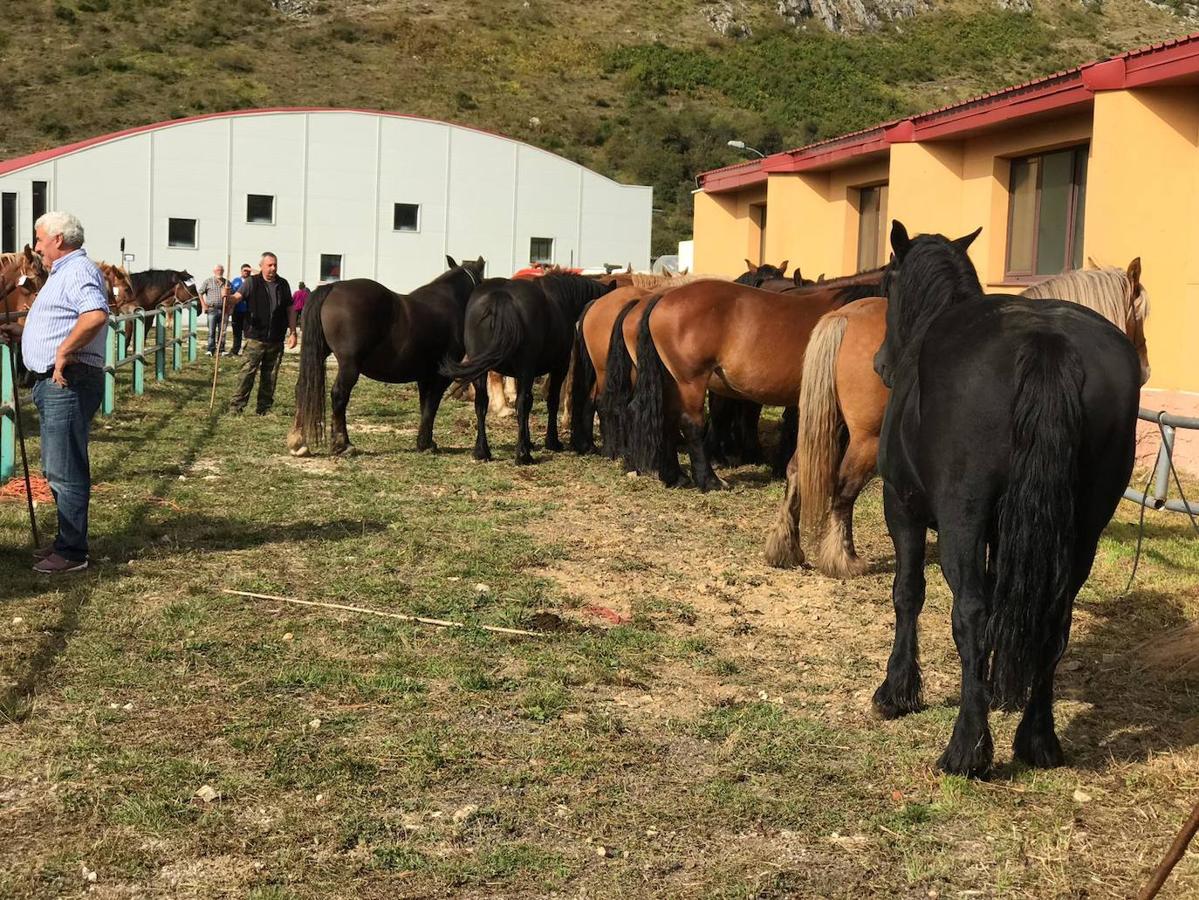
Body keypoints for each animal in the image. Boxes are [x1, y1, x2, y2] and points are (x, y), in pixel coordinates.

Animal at [287, 256, 484, 457]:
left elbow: (425, 405)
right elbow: (432, 405)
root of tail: (333, 287)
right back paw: (343, 444)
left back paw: (298, 442)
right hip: (349, 365)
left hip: (319, 354)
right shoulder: (439, 376)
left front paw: (425, 442)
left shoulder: (424, 376)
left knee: (302, 387)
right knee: (339, 395)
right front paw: (426, 444)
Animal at [448, 273, 623, 464]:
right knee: (521, 403)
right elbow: (550, 401)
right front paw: (551, 441)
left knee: (482, 403)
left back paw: (482, 451)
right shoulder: (558, 366)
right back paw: (523, 455)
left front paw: (529, 441)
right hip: (526, 367)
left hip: (482, 369)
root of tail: (501, 297)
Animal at [767, 256, 1151, 572]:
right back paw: (843, 559)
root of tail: (844, 315)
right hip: (865, 439)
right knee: (843, 488)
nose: (1145, 368)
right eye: (1141, 314)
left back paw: (786, 548)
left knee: (797, 469)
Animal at [868, 221, 1136, 776]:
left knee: (969, 611)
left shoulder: (900, 506)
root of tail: (1046, 341)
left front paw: (897, 691)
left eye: (886, 283)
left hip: (962, 519)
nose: (880, 364)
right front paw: (995, 689)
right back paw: (1038, 739)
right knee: (1056, 616)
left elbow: (909, 593)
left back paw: (966, 748)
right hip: (1083, 528)